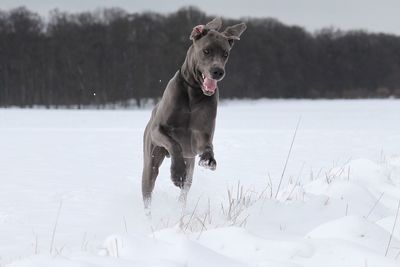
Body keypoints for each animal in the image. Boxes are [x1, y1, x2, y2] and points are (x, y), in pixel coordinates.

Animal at [141, 17, 247, 211]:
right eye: (206, 51)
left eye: (225, 54)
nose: (218, 71)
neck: (194, 92)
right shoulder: (158, 130)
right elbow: (174, 143)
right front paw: (176, 173)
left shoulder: (200, 138)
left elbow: (207, 146)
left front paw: (208, 160)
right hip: (150, 162)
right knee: (148, 191)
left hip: (189, 166)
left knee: (185, 188)